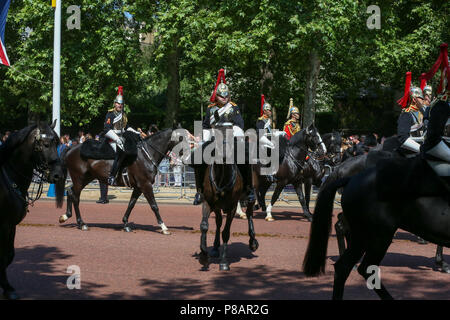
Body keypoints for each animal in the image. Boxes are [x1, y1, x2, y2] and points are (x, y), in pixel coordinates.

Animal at [0, 121, 63, 298]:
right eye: (46, 144)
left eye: (58, 143)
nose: (58, 175)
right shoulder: (4, 225)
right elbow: (3, 256)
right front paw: (7, 288)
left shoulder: (11, 225)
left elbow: (9, 255)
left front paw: (6, 286)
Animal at [57, 128, 185, 235]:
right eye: (183, 140)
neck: (146, 155)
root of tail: (71, 148)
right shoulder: (146, 185)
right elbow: (154, 206)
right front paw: (164, 227)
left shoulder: (139, 187)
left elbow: (131, 204)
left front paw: (126, 224)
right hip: (79, 178)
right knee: (75, 197)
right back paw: (81, 223)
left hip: (86, 178)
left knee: (70, 191)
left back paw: (67, 216)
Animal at [199, 124, 258, 270]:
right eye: (216, 134)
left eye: (232, 135)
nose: (224, 155)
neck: (222, 177)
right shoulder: (208, 203)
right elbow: (204, 226)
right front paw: (204, 255)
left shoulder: (232, 206)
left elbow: (226, 232)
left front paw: (224, 261)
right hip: (217, 207)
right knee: (218, 221)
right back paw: (215, 247)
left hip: (249, 198)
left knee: (249, 214)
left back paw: (253, 241)